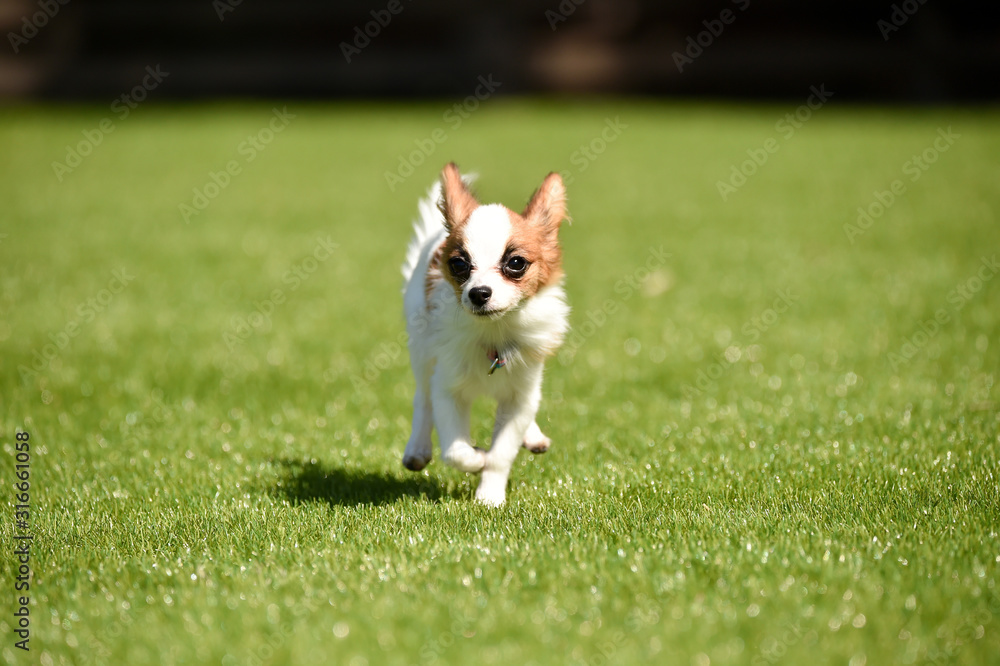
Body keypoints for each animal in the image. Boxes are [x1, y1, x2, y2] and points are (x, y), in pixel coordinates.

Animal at [398, 163, 572, 506]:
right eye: (458, 264)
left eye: (516, 263)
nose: (478, 293)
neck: (496, 330)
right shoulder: (447, 388)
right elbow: (456, 450)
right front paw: (478, 457)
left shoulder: (521, 394)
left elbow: (502, 452)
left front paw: (489, 496)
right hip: (422, 349)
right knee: (422, 398)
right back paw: (418, 449)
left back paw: (532, 436)